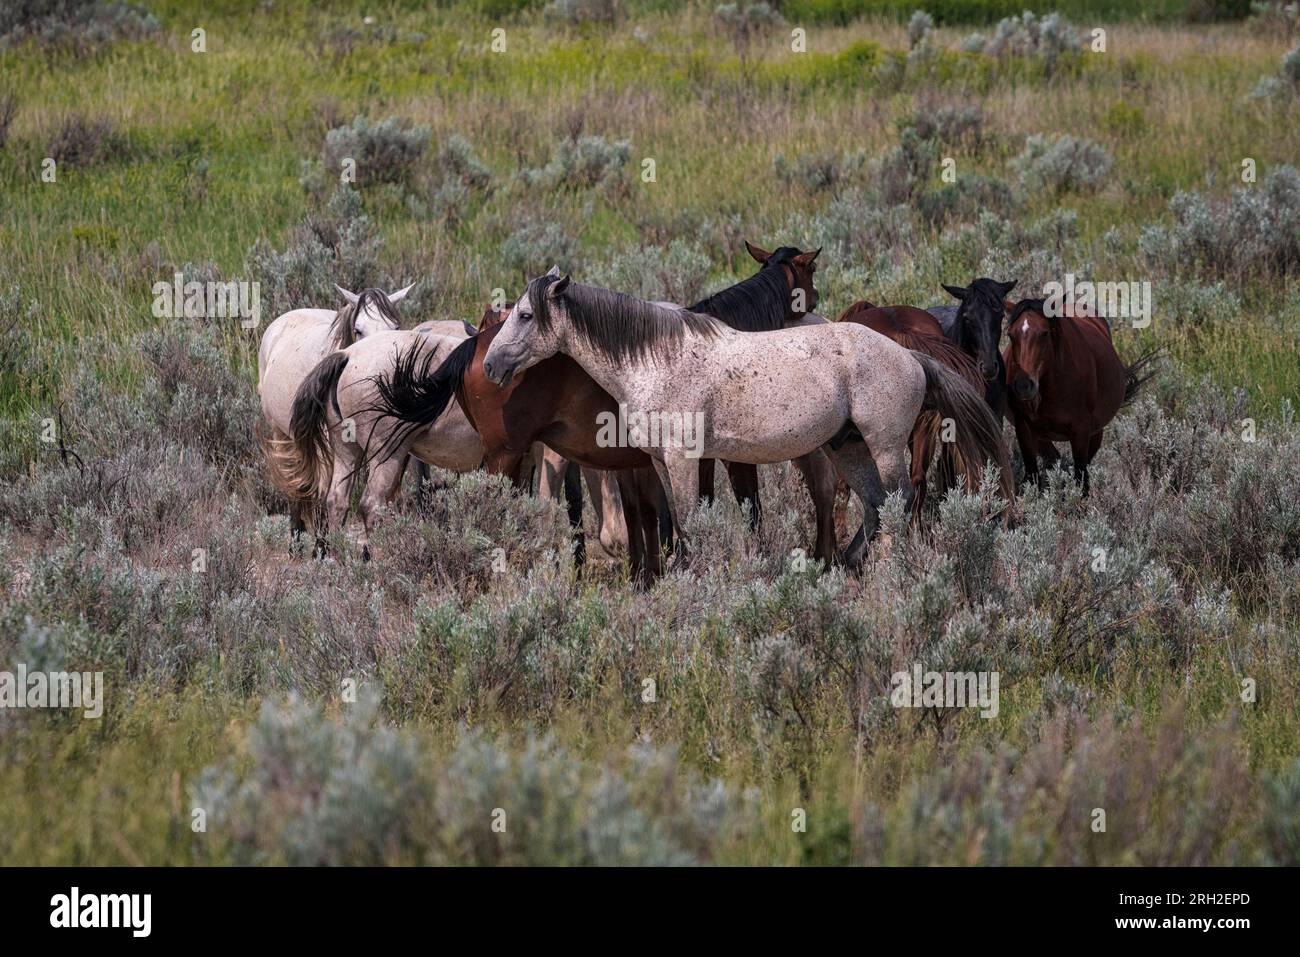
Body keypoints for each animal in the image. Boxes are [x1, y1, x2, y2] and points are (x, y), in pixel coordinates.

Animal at [483, 270, 1008, 566]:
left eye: (526, 315)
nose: (490, 365)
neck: (656, 358)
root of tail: (911, 357)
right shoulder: (659, 462)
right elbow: (676, 525)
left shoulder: (683, 459)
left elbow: (689, 523)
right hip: (849, 449)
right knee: (877, 508)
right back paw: (846, 566)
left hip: (883, 447)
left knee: (900, 503)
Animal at [1003, 297, 1159, 494]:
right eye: (1010, 335)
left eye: (1045, 333)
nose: (1023, 385)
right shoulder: (1024, 429)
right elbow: (1033, 477)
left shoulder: (1081, 431)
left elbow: (1081, 480)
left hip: (1095, 433)